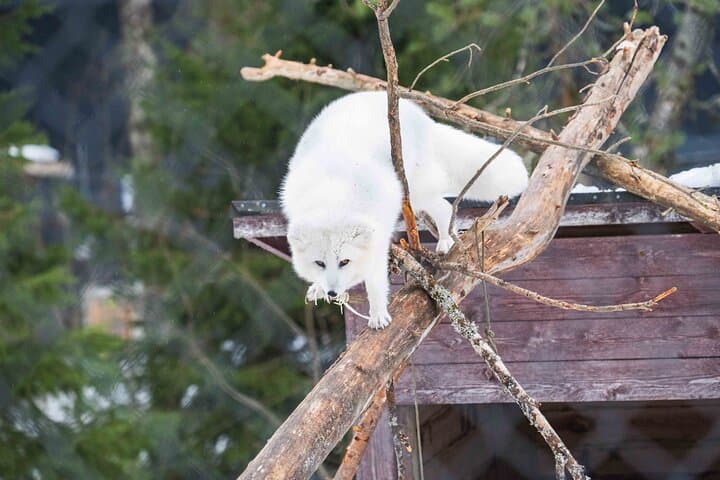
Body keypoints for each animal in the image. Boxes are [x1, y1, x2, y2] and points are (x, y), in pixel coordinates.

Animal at [280, 92, 528, 329]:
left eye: (344, 262)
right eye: (319, 263)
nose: (332, 292)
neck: (334, 195)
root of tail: (422, 117)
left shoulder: (379, 239)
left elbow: (376, 282)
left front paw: (378, 315)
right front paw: (318, 286)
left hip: (414, 191)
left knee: (444, 207)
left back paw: (445, 242)